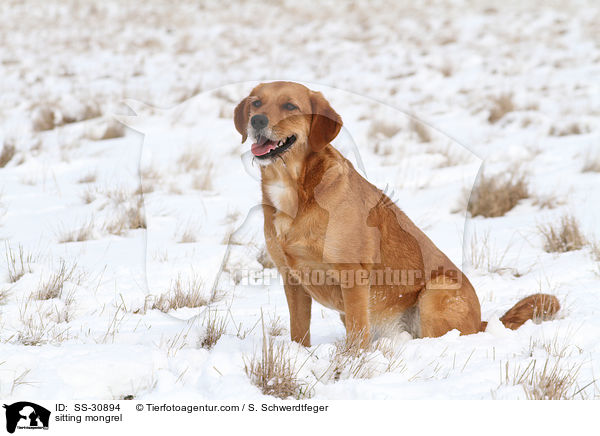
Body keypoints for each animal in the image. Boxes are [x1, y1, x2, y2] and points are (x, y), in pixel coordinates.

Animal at [233, 81, 556, 348]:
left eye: (290, 106)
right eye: (256, 103)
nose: (256, 121)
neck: (296, 190)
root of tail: (483, 323)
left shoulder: (352, 276)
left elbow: (357, 334)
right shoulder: (292, 279)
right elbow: (299, 331)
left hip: (436, 293)